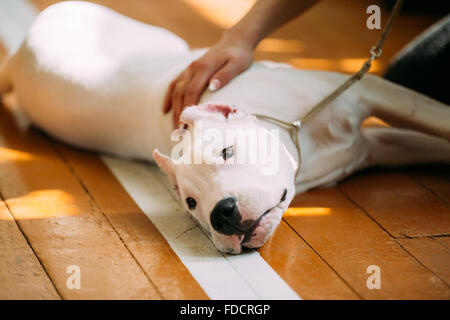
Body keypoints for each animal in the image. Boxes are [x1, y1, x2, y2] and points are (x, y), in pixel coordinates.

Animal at [0, 1, 448, 254]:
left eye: (227, 152)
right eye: (190, 203)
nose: (224, 215)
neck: (300, 136)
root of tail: (21, 52)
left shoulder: (373, 97)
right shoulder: (375, 140)